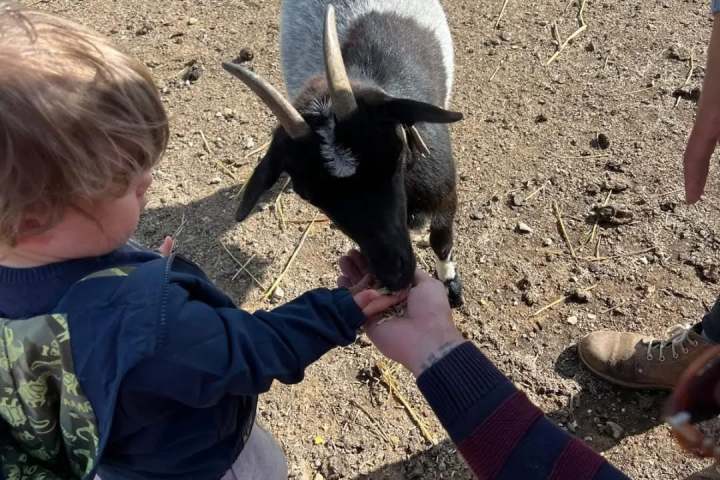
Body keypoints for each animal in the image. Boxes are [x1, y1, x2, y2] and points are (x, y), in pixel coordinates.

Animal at [223, 0, 464, 307]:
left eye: (394, 155)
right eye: (308, 194)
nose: (395, 275)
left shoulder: (445, 196)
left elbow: (441, 241)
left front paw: (450, 285)